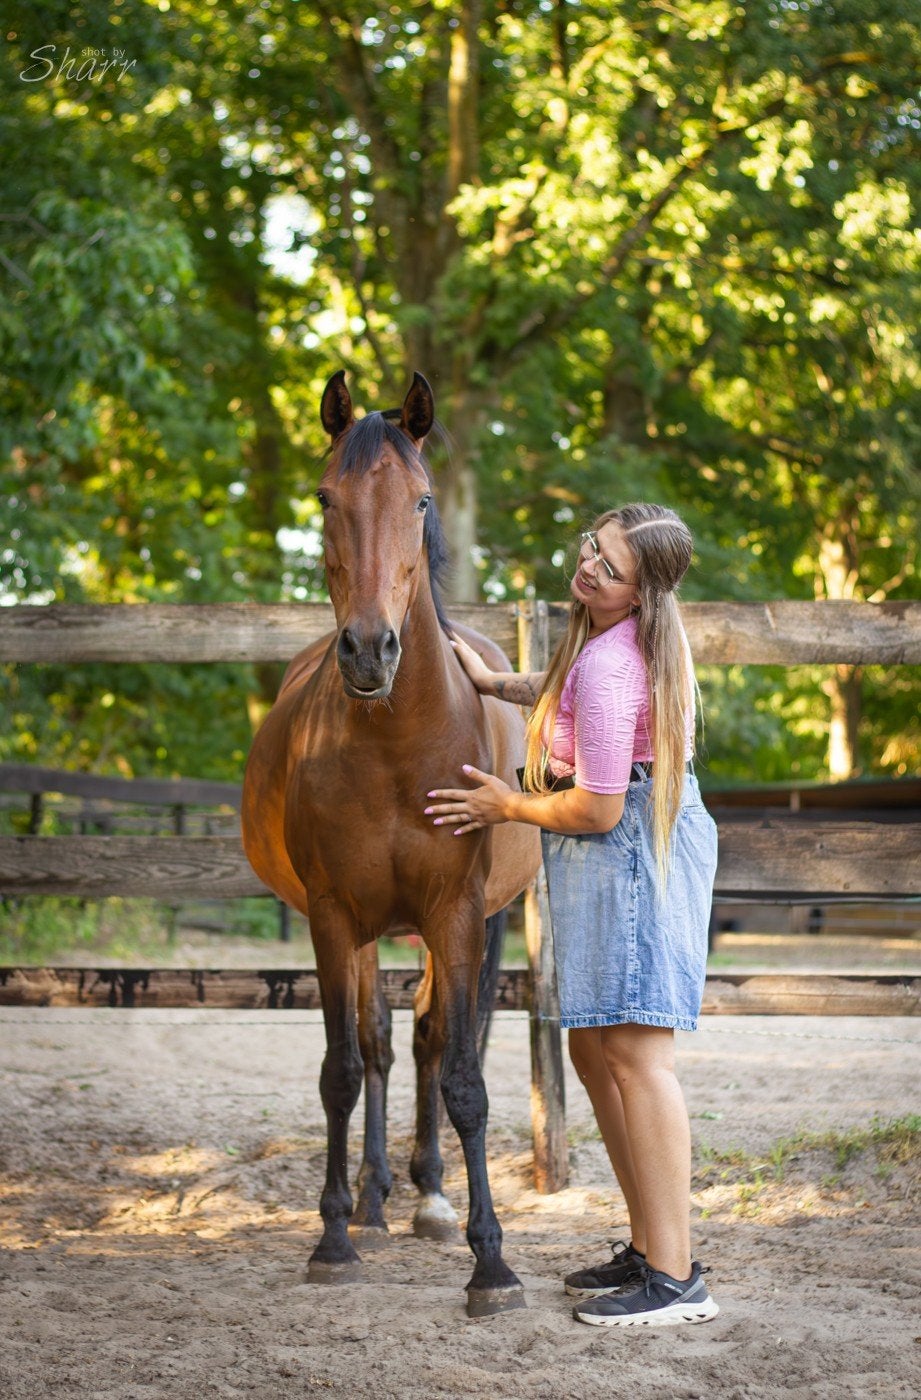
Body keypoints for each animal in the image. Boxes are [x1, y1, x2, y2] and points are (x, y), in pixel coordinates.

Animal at [241, 370, 541, 1317]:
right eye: (324, 499)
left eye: (420, 500)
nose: (370, 650)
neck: (394, 745)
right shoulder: (332, 916)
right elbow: (342, 1067)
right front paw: (333, 1236)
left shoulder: (456, 912)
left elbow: (463, 1077)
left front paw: (492, 1262)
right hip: (369, 931)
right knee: (378, 1040)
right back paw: (374, 1199)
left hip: (468, 923)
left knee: (432, 1038)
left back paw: (430, 1196)